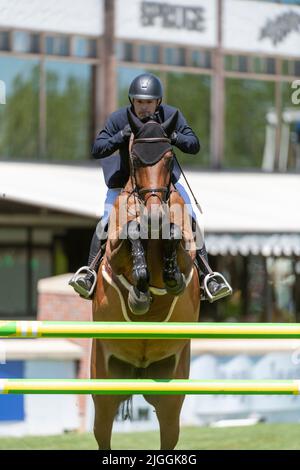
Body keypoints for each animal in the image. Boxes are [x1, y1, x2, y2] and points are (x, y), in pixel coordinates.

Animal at [90, 108, 200, 450]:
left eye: (168, 158)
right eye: (135, 159)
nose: (153, 216)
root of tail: (138, 373)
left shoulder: (186, 249)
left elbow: (175, 235)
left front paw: (170, 275)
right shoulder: (114, 251)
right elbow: (131, 232)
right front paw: (139, 292)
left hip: (170, 392)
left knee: (168, 432)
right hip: (104, 387)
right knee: (103, 432)